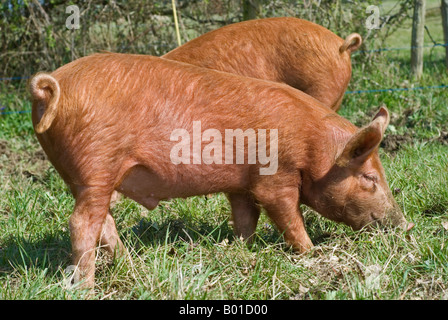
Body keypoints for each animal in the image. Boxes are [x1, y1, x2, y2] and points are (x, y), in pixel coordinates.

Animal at [29, 52, 412, 288]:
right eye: (369, 177)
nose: (406, 225)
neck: (313, 147)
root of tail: (50, 89)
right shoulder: (275, 177)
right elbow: (288, 215)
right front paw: (311, 252)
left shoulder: (240, 185)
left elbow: (245, 218)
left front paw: (242, 247)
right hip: (96, 164)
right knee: (81, 223)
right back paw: (88, 286)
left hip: (81, 177)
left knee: (103, 221)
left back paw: (130, 265)